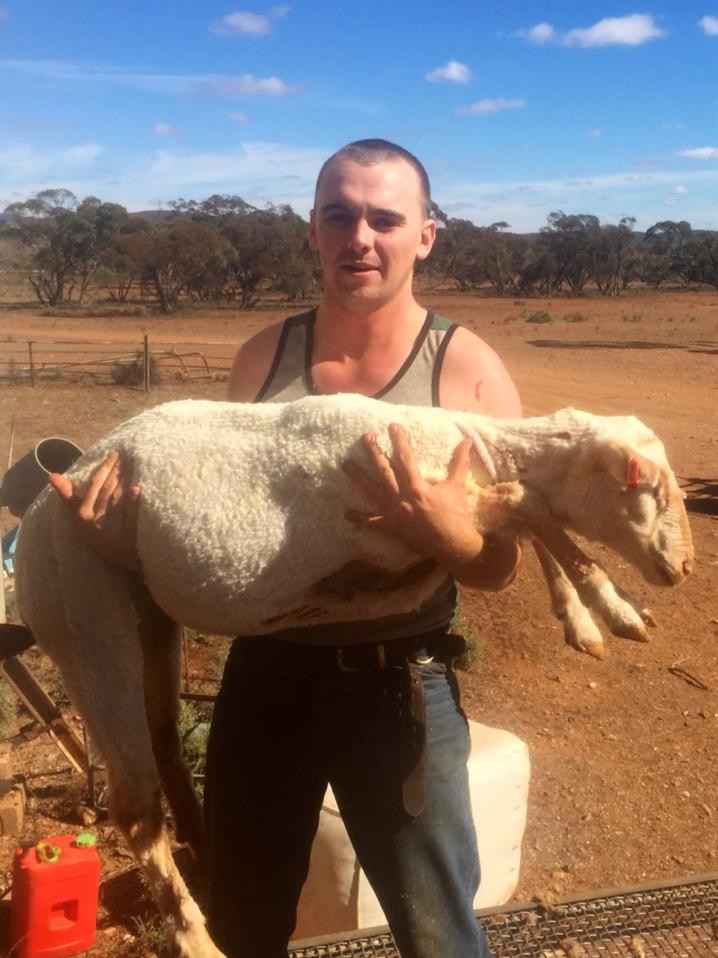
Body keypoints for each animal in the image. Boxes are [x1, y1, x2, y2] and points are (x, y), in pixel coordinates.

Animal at [12, 394, 696, 956]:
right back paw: (198, 939)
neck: (468, 446)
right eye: (652, 490)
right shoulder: (389, 519)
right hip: (81, 615)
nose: (685, 567)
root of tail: (48, 498)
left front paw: (589, 619)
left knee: (165, 747)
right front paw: (608, 603)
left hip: (148, 613)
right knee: (133, 807)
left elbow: (526, 521)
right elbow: (528, 508)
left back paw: (207, 856)